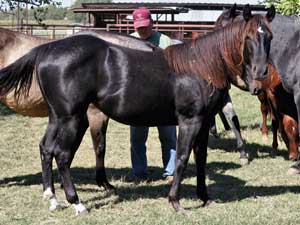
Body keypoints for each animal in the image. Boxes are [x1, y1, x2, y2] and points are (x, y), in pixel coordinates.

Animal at [0, 4, 274, 214]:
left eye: (269, 37)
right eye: (248, 37)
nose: (260, 74)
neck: (200, 66)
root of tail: (47, 49)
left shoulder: (205, 122)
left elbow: (201, 157)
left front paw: (205, 198)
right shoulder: (190, 121)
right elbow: (182, 158)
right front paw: (176, 203)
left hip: (57, 118)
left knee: (47, 149)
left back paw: (53, 198)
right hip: (71, 119)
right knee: (63, 155)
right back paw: (76, 203)